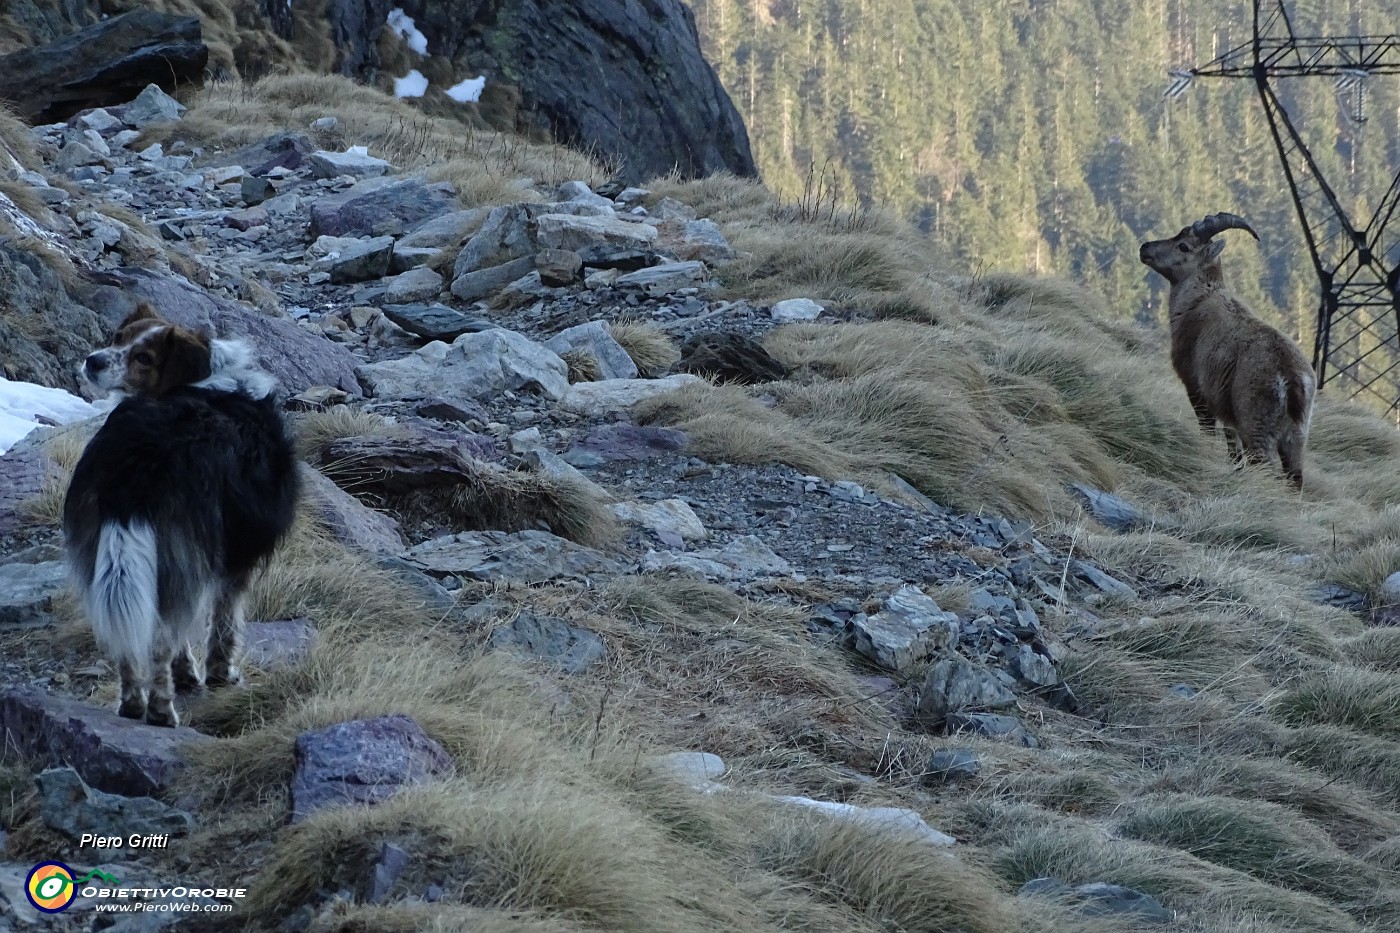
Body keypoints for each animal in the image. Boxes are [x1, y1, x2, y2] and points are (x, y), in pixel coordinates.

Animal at [63, 305, 301, 728]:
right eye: (119, 338)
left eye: (143, 356)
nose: (93, 361)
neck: (206, 379)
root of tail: (136, 462)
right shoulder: (234, 556)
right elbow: (223, 621)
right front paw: (221, 675)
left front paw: (187, 674)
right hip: (183, 550)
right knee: (159, 637)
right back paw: (161, 711)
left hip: (107, 555)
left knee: (127, 638)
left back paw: (132, 705)